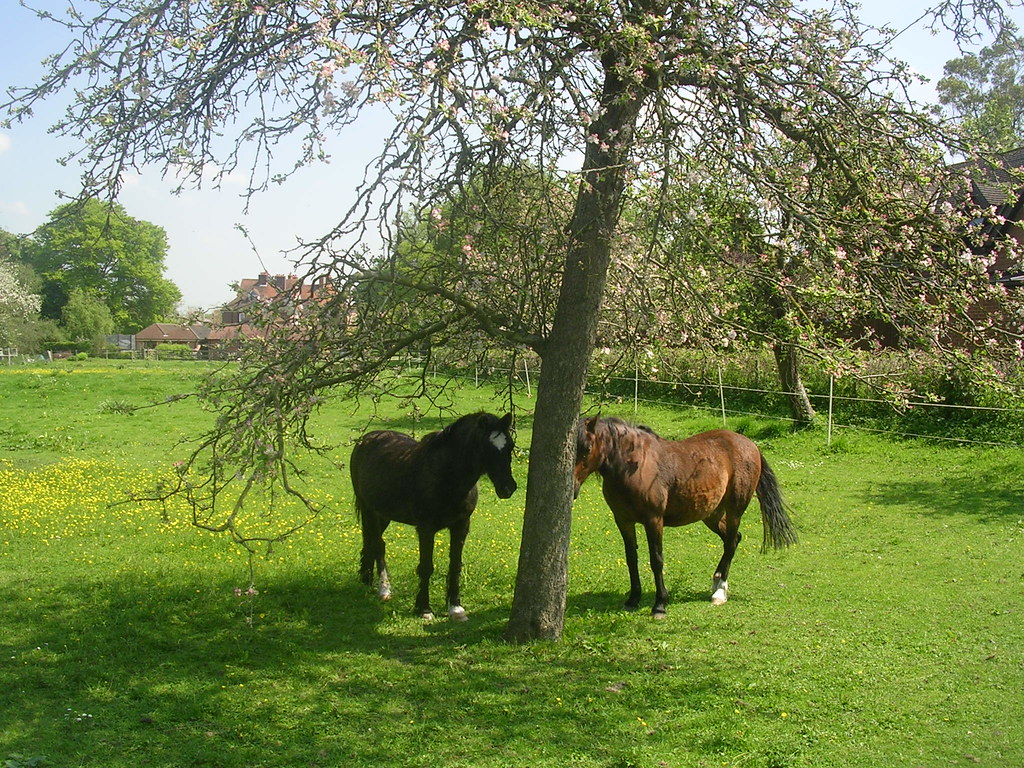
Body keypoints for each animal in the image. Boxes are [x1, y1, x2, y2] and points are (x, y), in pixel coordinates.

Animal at [350, 411, 517, 621]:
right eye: (486, 448)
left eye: (510, 446)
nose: (508, 488)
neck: (447, 477)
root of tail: (365, 439)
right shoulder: (426, 529)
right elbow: (426, 566)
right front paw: (424, 608)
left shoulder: (461, 526)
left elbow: (455, 565)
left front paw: (455, 607)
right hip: (369, 510)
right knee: (378, 545)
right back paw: (384, 589)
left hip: (383, 514)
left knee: (371, 541)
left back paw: (367, 579)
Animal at [573, 416, 796, 617]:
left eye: (587, 449)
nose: (573, 488)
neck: (635, 465)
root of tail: (751, 445)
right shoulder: (623, 520)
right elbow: (631, 559)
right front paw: (633, 600)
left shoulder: (654, 520)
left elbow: (656, 560)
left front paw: (660, 604)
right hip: (711, 514)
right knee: (733, 539)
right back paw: (717, 581)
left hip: (734, 511)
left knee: (731, 542)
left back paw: (719, 592)